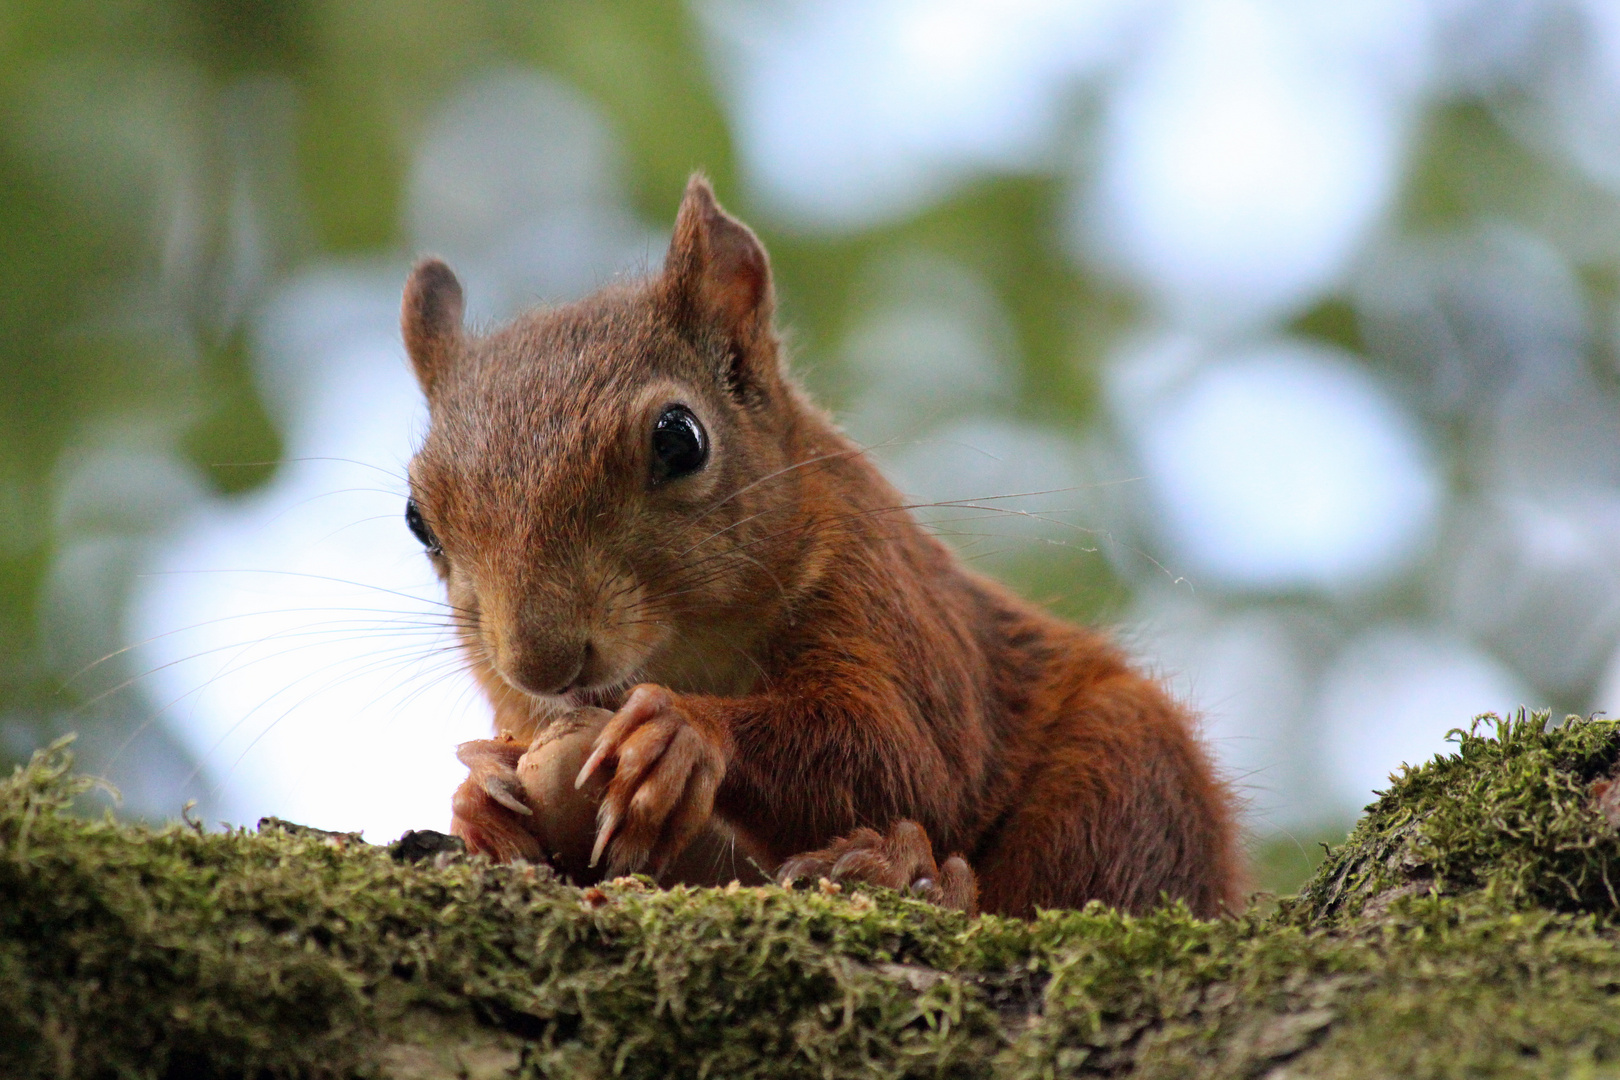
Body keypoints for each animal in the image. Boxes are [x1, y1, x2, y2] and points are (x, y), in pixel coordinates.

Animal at [401, 177, 1237, 919]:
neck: (686, 650)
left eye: (679, 440)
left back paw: (914, 872)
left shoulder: (887, 602)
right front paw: (479, 795)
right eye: (417, 520)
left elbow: (905, 761)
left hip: (1128, 774)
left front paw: (683, 733)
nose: (539, 664)